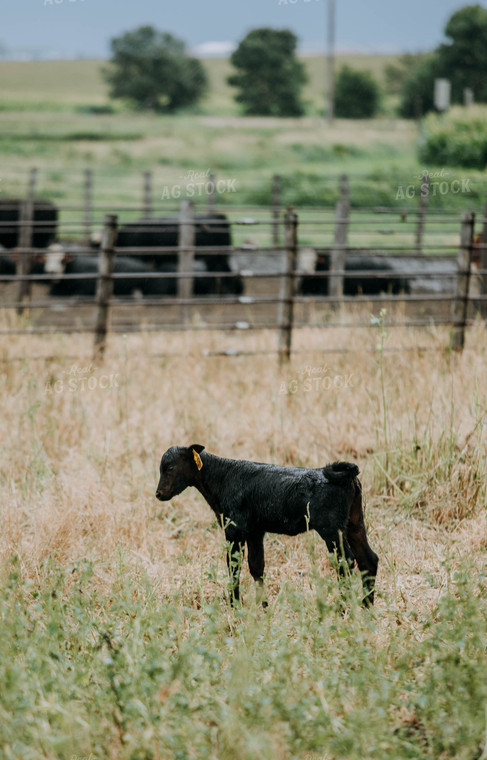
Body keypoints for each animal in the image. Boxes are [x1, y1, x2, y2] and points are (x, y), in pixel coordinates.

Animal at [154, 446, 380, 604]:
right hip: (354, 522)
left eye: (170, 467)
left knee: (346, 561)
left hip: (332, 529)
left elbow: (234, 566)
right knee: (368, 559)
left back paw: (344, 607)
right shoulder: (255, 531)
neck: (222, 477)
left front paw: (235, 606)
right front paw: (263, 608)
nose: (158, 494)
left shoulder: (234, 529)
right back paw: (366, 608)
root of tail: (347, 477)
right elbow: (256, 567)